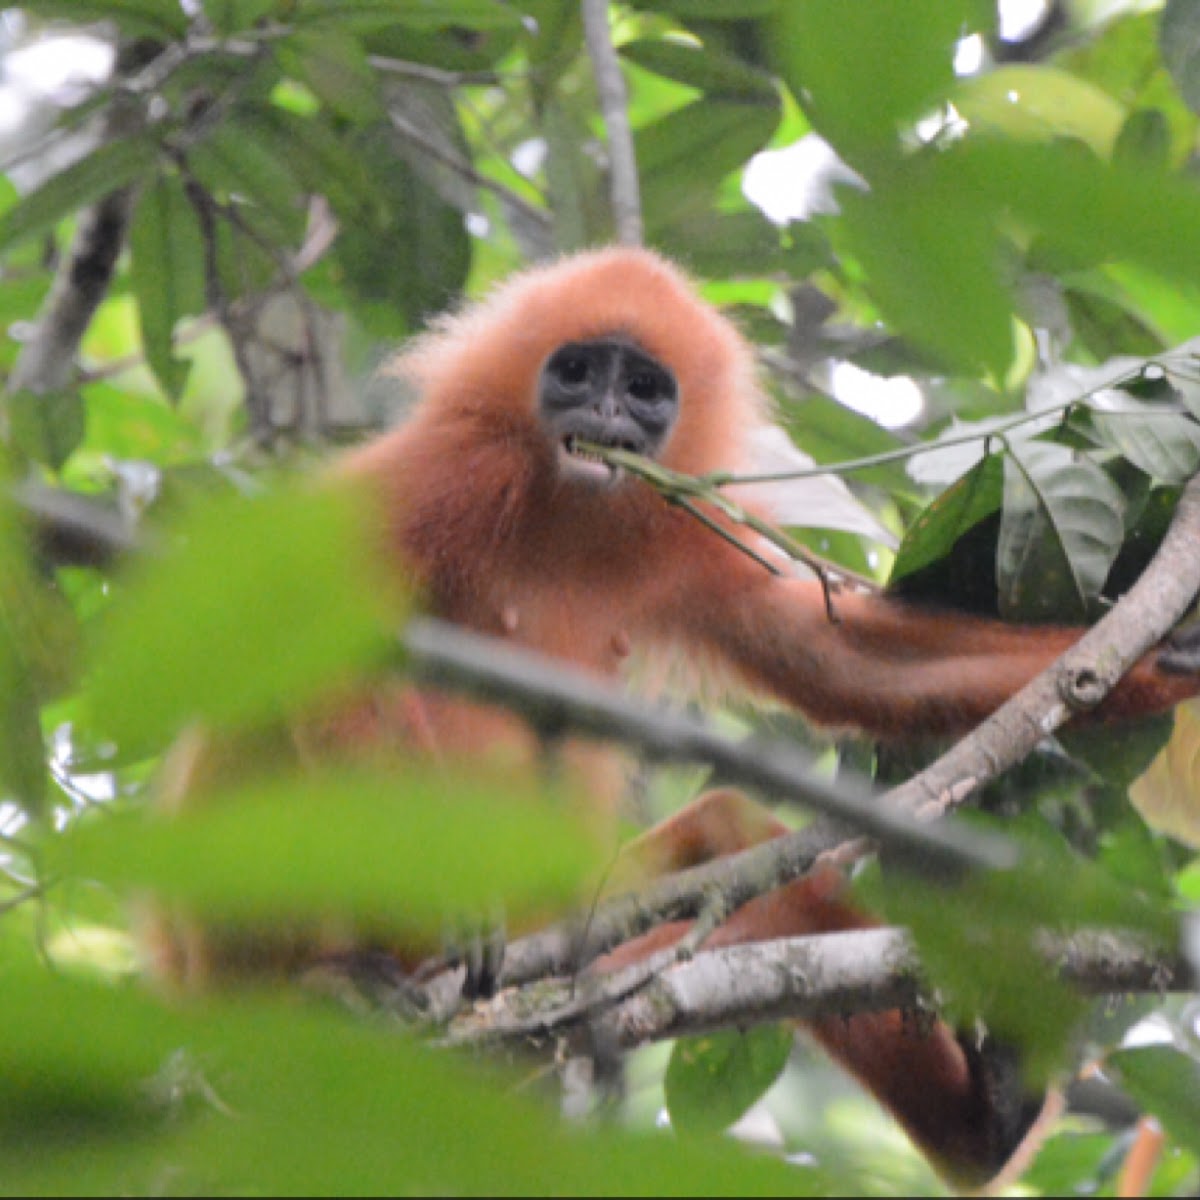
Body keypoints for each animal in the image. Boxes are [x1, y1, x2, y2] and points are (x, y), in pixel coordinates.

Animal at [154, 248, 1200, 1185]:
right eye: (578, 371)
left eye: (647, 388)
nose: (609, 412)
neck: (560, 517)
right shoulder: (430, 476)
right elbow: (295, 648)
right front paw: (448, 888)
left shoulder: (683, 536)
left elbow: (835, 660)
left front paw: (1171, 653)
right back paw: (332, 982)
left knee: (730, 842)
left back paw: (989, 1127)